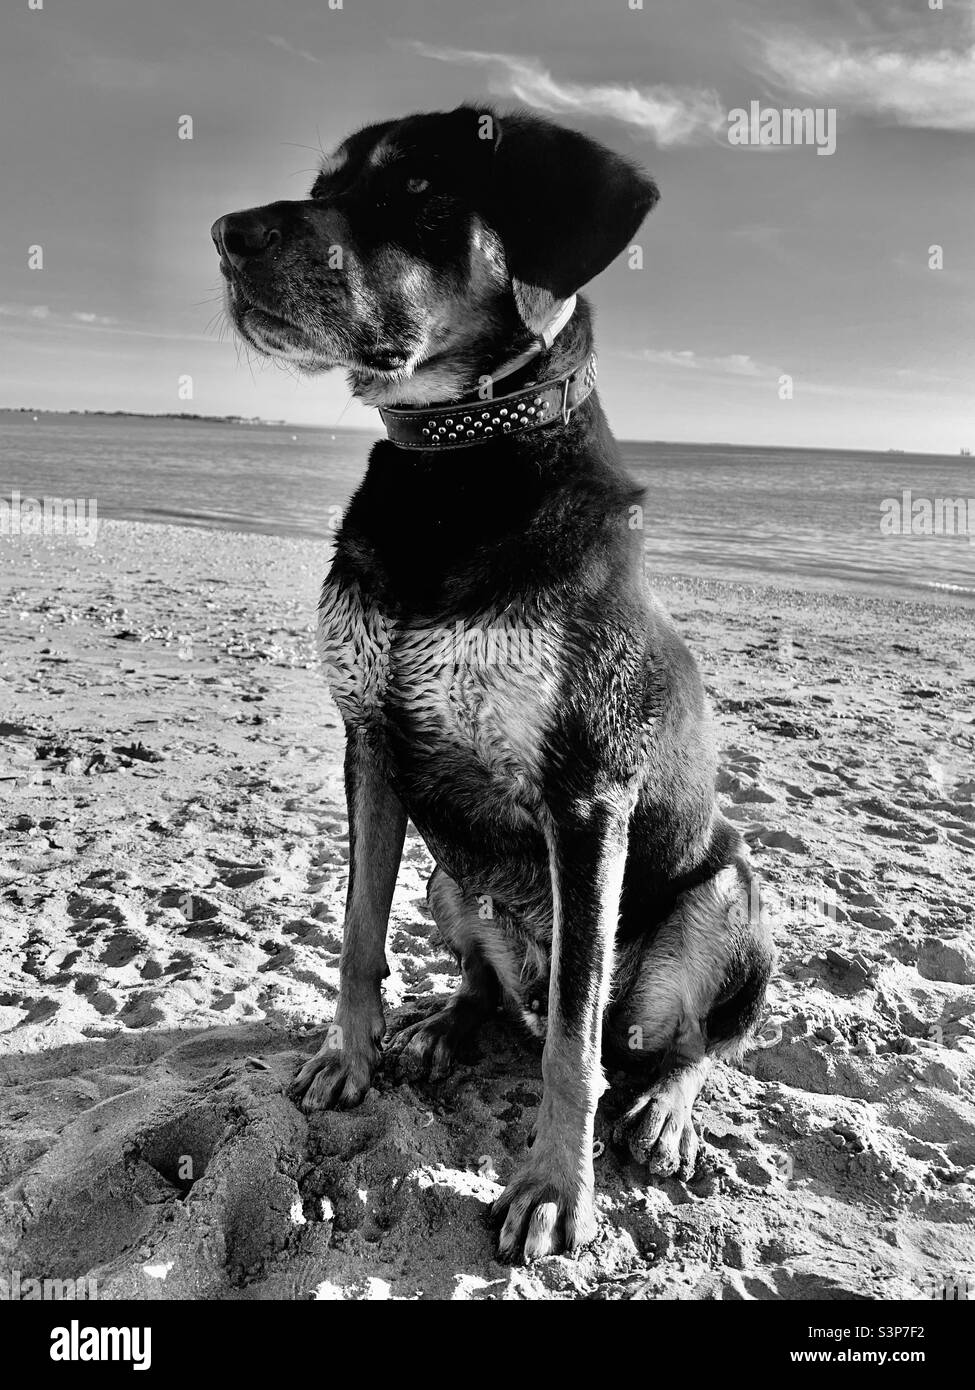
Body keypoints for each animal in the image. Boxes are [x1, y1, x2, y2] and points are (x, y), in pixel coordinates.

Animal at [208, 102, 773, 1267]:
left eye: (420, 196)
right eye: (323, 185)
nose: (228, 236)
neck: (453, 465)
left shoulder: (585, 796)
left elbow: (571, 1041)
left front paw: (557, 1187)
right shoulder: (371, 739)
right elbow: (357, 929)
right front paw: (351, 1054)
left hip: (727, 896)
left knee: (673, 1040)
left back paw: (664, 1110)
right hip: (450, 876)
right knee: (489, 982)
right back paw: (446, 1026)